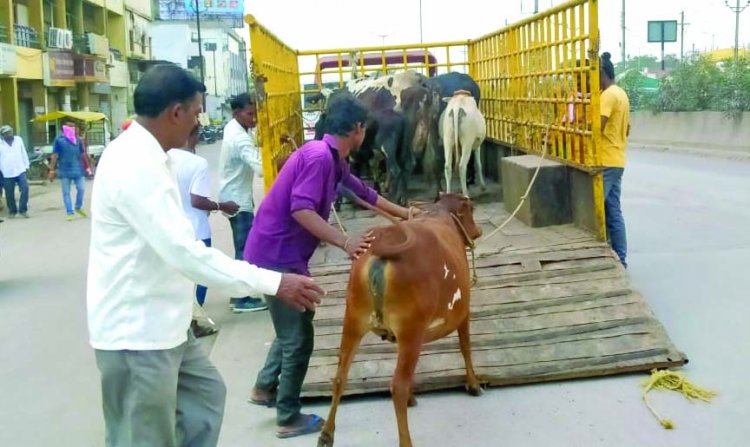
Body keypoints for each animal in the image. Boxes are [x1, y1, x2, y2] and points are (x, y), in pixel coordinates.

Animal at [318, 194, 482, 447]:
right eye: (471, 209)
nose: (478, 231)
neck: (439, 213)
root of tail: (384, 243)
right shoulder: (462, 311)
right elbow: (466, 347)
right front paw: (473, 384)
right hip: (410, 329)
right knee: (397, 386)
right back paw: (406, 441)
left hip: (353, 319)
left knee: (339, 377)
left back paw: (327, 433)